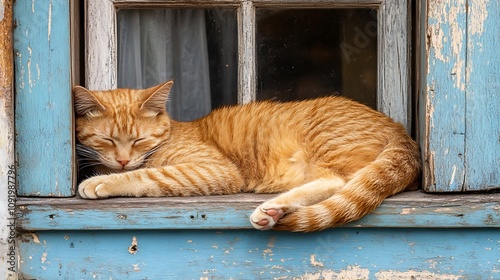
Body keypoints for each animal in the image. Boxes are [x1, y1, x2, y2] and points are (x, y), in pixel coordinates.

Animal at [72, 80, 420, 232]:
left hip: (328, 145)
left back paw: (270, 208)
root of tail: (401, 131)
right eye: (106, 140)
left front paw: (103, 181)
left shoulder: (216, 169)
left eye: (140, 140)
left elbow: (148, 175)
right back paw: (274, 211)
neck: (170, 134)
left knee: (339, 181)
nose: (122, 160)